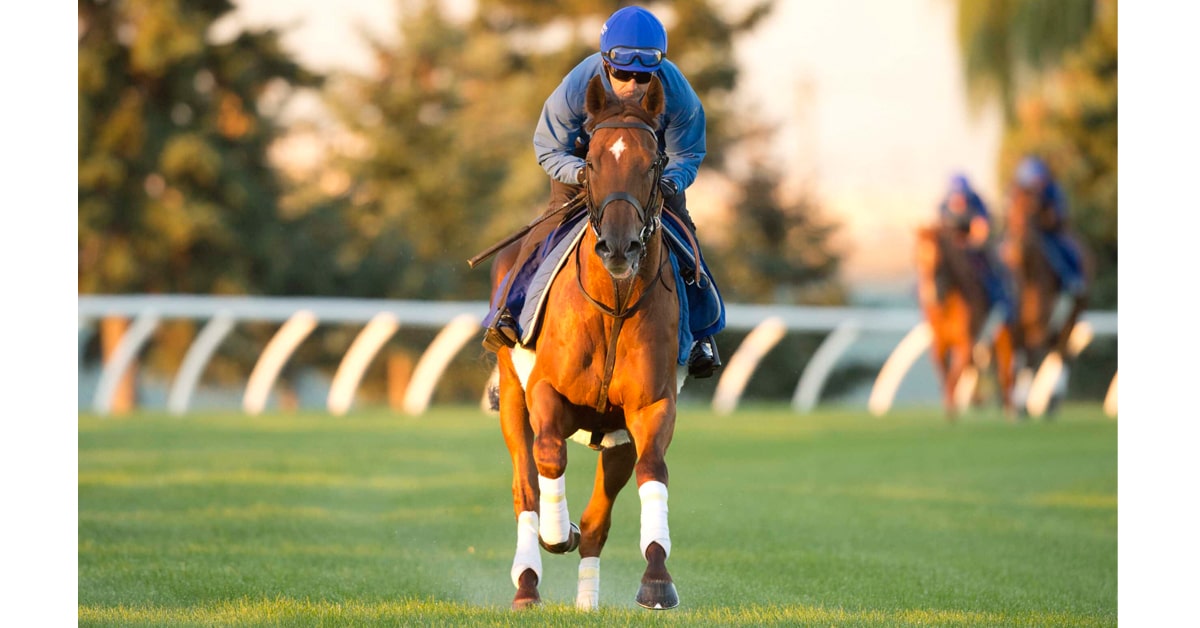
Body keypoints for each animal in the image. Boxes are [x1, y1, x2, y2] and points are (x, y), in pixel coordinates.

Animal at [492, 74, 683, 611]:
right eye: (593, 161)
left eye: (652, 163)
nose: (618, 246)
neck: (613, 307)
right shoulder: (543, 391)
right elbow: (549, 458)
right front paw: (559, 533)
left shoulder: (649, 405)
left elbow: (652, 470)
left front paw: (657, 579)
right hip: (511, 398)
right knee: (525, 487)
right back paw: (527, 583)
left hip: (613, 434)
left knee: (601, 517)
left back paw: (586, 599)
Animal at [914, 224, 1016, 420]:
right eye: (917, 259)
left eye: (940, 260)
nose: (931, 295)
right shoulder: (940, 342)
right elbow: (945, 370)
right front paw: (951, 405)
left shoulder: (966, 341)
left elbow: (954, 375)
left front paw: (951, 409)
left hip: (1003, 333)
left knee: (1005, 373)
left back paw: (1010, 411)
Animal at [1001, 186, 1092, 415]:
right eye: (1010, 209)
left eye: (1032, 211)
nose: (1019, 243)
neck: (1027, 279)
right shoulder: (1015, 326)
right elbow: (1017, 359)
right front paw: (1014, 406)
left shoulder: (1038, 327)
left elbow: (1030, 359)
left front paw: (1022, 406)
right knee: (1058, 350)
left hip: (1074, 313)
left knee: (1063, 352)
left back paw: (1053, 402)